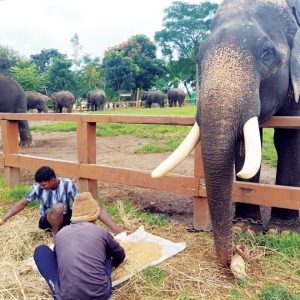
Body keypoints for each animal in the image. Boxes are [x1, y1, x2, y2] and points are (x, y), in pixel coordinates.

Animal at [152, 0, 300, 268]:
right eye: (199, 57)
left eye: (267, 54)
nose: (238, 251)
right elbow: (249, 141)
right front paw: (246, 229)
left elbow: (289, 137)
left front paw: (282, 232)